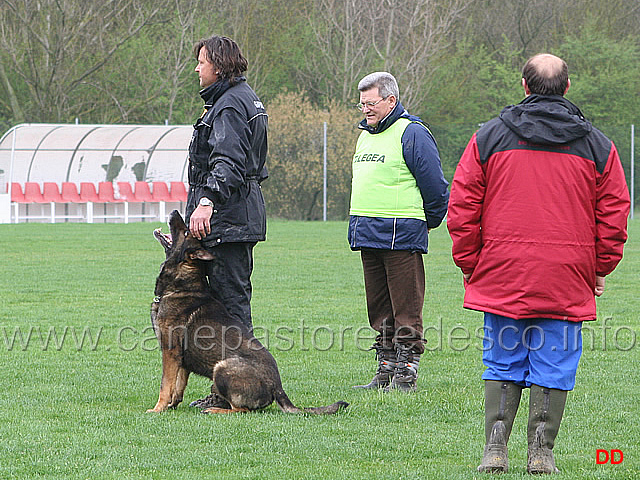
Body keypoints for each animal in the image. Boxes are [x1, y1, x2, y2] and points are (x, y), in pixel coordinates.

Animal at [148, 212, 348, 414]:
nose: (174, 212)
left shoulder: (170, 351)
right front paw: (172, 405)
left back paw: (216, 409)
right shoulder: (181, 358)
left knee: (242, 410)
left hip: (222, 367)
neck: (181, 286)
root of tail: (277, 387)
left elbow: (166, 384)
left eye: (186, 231)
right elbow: (178, 385)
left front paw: (158, 408)